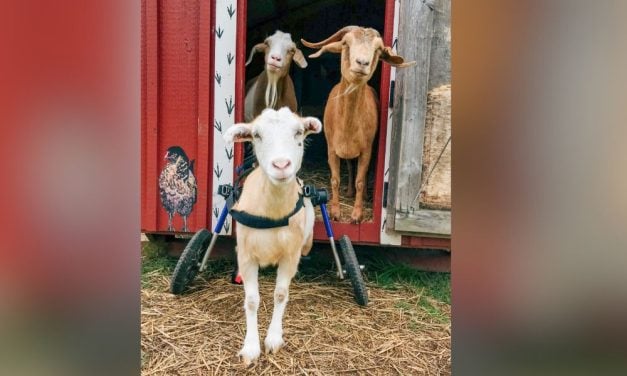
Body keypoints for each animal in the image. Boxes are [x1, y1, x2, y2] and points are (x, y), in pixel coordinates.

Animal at [224, 106, 324, 364]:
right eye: (256, 135)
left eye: (299, 132)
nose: (281, 165)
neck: (272, 213)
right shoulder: (247, 256)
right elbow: (251, 301)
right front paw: (250, 347)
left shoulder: (290, 255)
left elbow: (280, 294)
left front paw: (273, 338)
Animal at [302, 26, 414, 223]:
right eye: (345, 43)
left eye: (378, 50)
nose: (362, 63)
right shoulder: (332, 148)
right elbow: (335, 179)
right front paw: (335, 212)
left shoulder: (366, 149)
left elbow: (361, 181)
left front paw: (356, 214)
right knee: (349, 166)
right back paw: (348, 191)